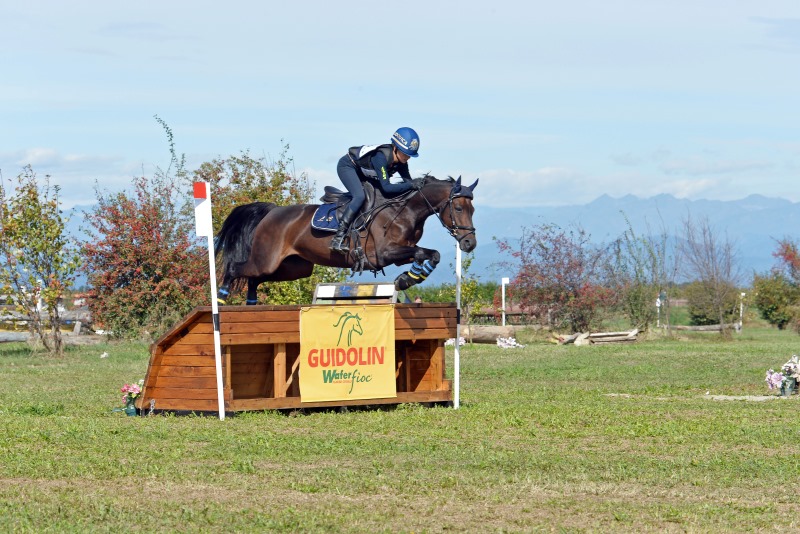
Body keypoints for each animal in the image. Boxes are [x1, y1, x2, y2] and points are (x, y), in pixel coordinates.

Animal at [212, 174, 478, 304]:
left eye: (472, 209)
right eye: (459, 208)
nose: (469, 243)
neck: (405, 210)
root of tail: (272, 211)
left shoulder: (401, 252)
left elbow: (431, 254)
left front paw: (409, 277)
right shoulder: (384, 254)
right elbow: (424, 253)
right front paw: (406, 280)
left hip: (293, 268)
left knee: (254, 279)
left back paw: (251, 302)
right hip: (266, 260)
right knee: (235, 268)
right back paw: (222, 298)